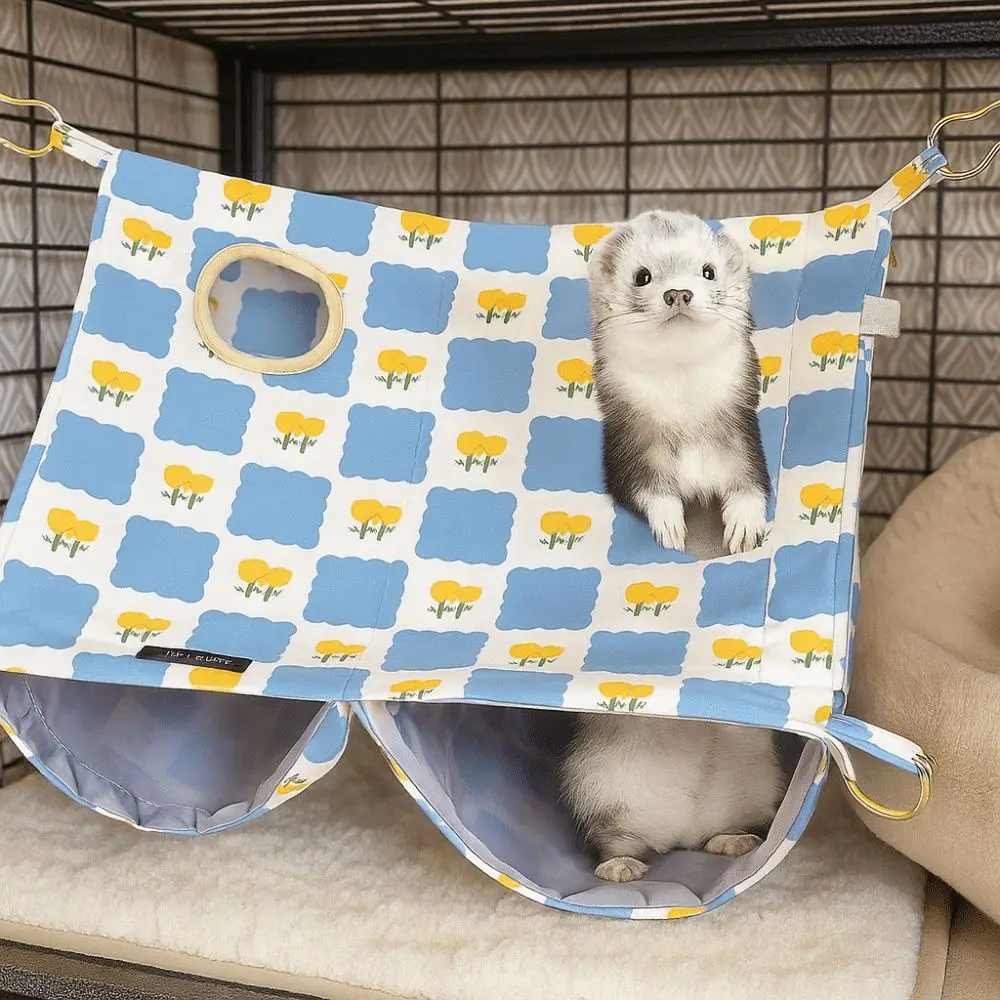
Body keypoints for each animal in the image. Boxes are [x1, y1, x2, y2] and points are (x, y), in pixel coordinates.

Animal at [588, 209, 770, 555]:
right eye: (642, 276)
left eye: (709, 271)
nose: (678, 293)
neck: (686, 415)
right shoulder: (627, 451)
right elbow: (645, 490)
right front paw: (668, 522)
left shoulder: (743, 441)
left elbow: (751, 482)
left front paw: (744, 524)